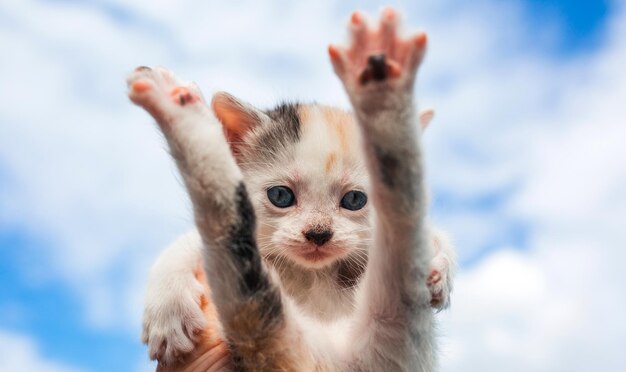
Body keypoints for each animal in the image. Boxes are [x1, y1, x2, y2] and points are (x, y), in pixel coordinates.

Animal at [129, 7, 456, 370]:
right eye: (281, 196)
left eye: (354, 199)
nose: (318, 234)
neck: (311, 275)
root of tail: (334, 358)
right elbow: (191, 242)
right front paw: (167, 308)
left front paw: (441, 264)